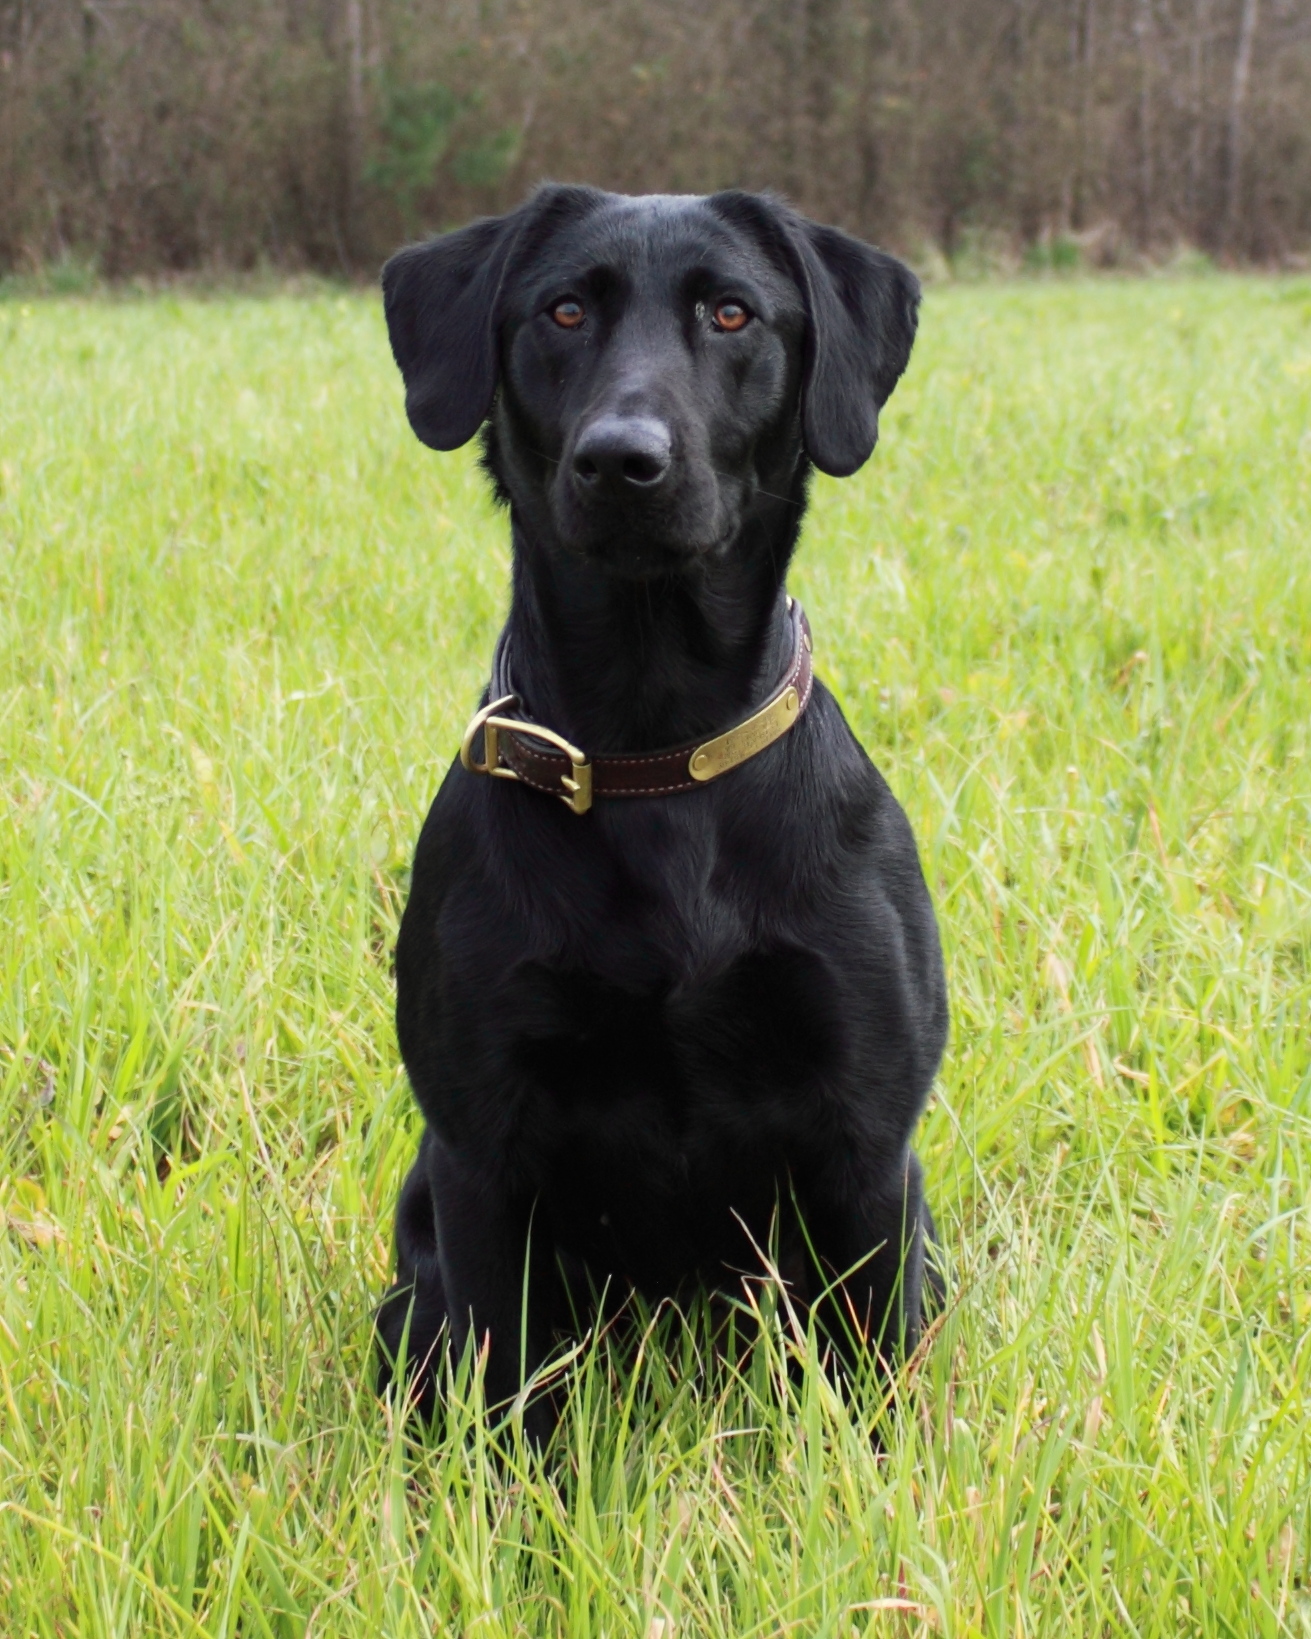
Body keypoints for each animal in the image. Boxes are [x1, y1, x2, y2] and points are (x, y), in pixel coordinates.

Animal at [373, 188, 950, 1435]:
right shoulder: (480, 1155)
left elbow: (868, 1384)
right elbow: (505, 1396)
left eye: (732, 313)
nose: (621, 459)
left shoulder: (865, 1148)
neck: (656, 747)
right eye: (564, 310)